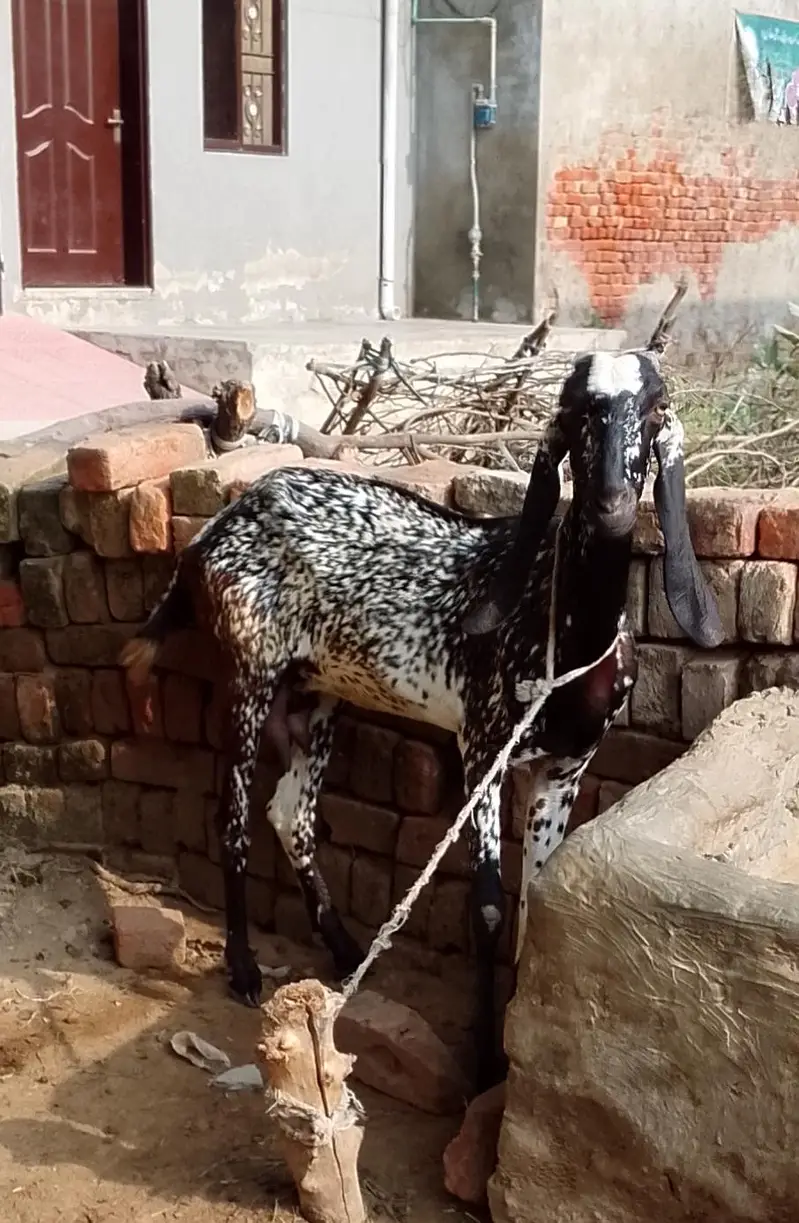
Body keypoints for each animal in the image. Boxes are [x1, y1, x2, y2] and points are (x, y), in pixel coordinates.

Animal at [120, 302, 723, 1093]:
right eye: (575, 415)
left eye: (652, 414)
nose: (613, 506)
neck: (557, 614)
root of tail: (218, 527)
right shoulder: (483, 750)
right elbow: (489, 910)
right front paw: (485, 1062)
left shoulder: (565, 769)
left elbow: (537, 900)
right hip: (249, 676)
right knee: (236, 817)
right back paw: (245, 968)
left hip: (316, 696)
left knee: (292, 814)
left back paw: (348, 952)